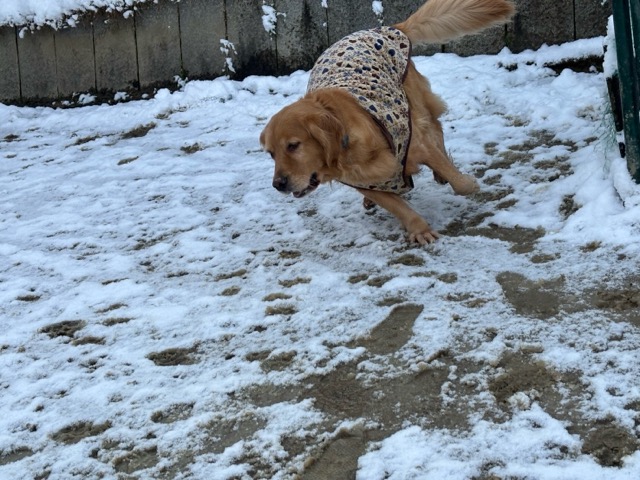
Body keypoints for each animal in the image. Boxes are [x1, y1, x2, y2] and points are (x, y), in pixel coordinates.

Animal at [260, 0, 515, 244]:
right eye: (271, 154)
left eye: (293, 146)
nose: (278, 184)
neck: (351, 150)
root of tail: (382, 28)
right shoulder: (365, 184)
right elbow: (399, 207)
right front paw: (420, 230)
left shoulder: (417, 145)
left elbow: (458, 181)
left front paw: (467, 183)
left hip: (415, 100)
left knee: (436, 129)